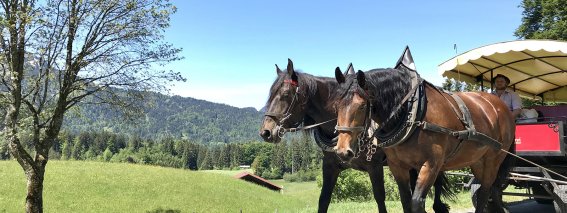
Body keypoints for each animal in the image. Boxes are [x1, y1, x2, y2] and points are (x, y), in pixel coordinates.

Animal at [262, 59, 458, 213]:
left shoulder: (375, 166)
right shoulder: (330, 166)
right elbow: (323, 200)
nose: (266, 132)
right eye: (270, 95)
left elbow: (380, 198)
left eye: (285, 94)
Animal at [332, 65, 516, 212]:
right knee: (489, 189)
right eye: (336, 105)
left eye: (362, 106)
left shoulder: (431, 164)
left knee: (486, 190)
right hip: (477, 161)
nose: (343, 151)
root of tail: (499, 105)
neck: (413, 113)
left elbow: (417, 202)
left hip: (494, 158)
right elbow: (406, 202)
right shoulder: (397, 166)